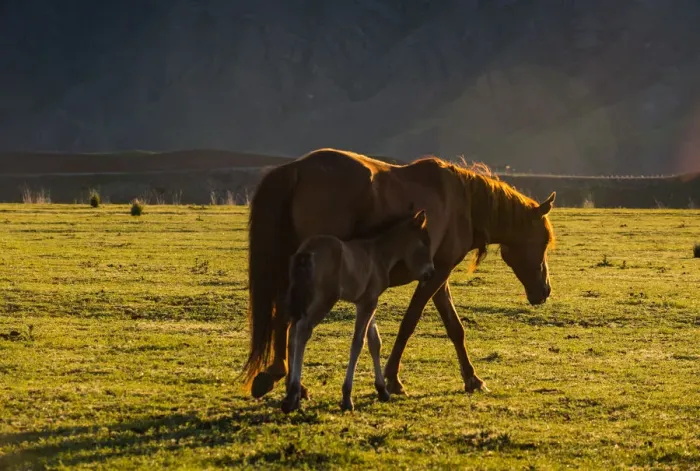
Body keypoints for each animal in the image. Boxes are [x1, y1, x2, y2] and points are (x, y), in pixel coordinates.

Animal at [282, 210, 435, 413]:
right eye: (425, 242)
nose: (430, 274)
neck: (378, 255)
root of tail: (307, 250)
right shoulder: (367, 303)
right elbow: (358, 343)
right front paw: (347, 397)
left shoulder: (368, 301)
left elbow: (374, 342)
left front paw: (382, 390)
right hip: (324, 300)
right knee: (302, 330)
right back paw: (293, 393)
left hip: (303, 299)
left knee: (291, 331)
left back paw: (292, 396)